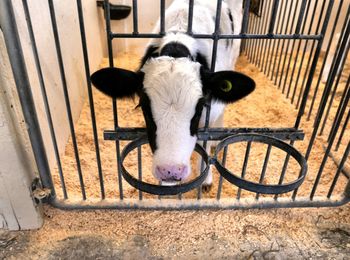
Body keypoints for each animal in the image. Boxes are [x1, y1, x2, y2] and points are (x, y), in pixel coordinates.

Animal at [90, 0, 254, 187]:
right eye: (144, 107)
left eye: (199, 109)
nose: (171, 170)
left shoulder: (210, 112)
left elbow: (205, 138)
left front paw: (206, 179)